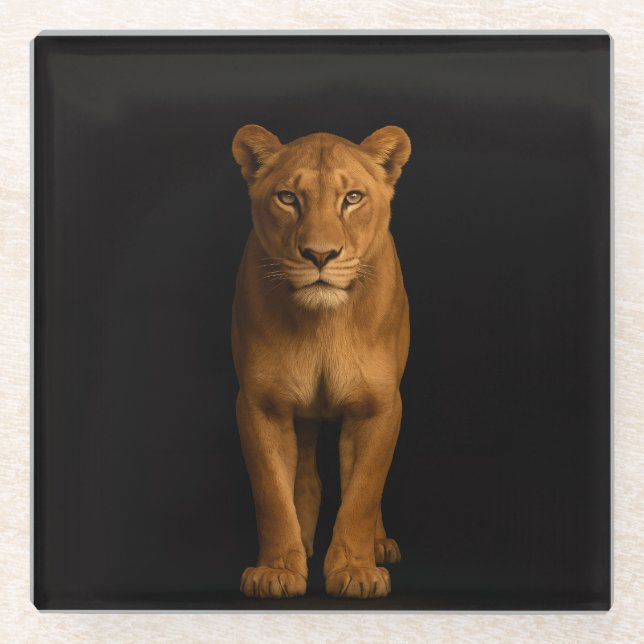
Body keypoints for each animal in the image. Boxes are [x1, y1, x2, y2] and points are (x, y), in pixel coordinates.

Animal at [231, 124, 411, 599]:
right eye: (287, 198)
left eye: (352, 197)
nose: (320, 255)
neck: (322, 325)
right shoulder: (260, 404)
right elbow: (272, 493)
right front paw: (276, 571)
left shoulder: (379, 406)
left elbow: (363, 493)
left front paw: (357, 571)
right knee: (306, 477)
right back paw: (305, 544)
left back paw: (378, 545)